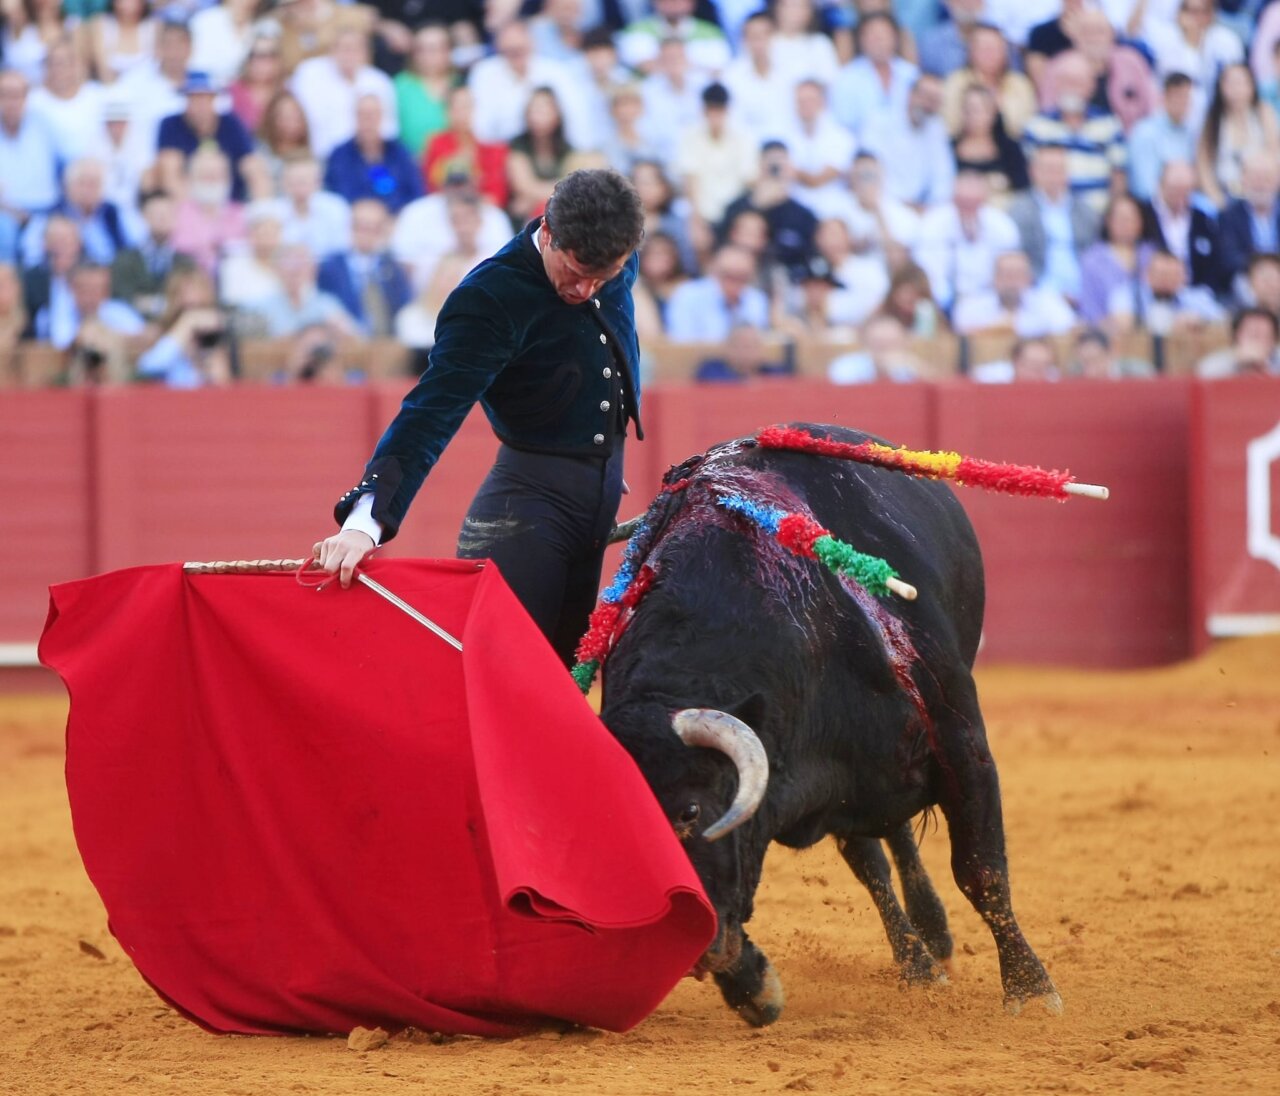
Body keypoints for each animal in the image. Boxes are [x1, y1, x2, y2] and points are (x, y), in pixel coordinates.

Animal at [599, 425, 1061, 1025]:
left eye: (691, 811)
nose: (688, 949)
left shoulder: (962, 741)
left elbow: (981, 870)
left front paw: (1031, 990)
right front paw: (754, 986)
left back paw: (935, 946)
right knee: (877, 857)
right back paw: (919, 961)